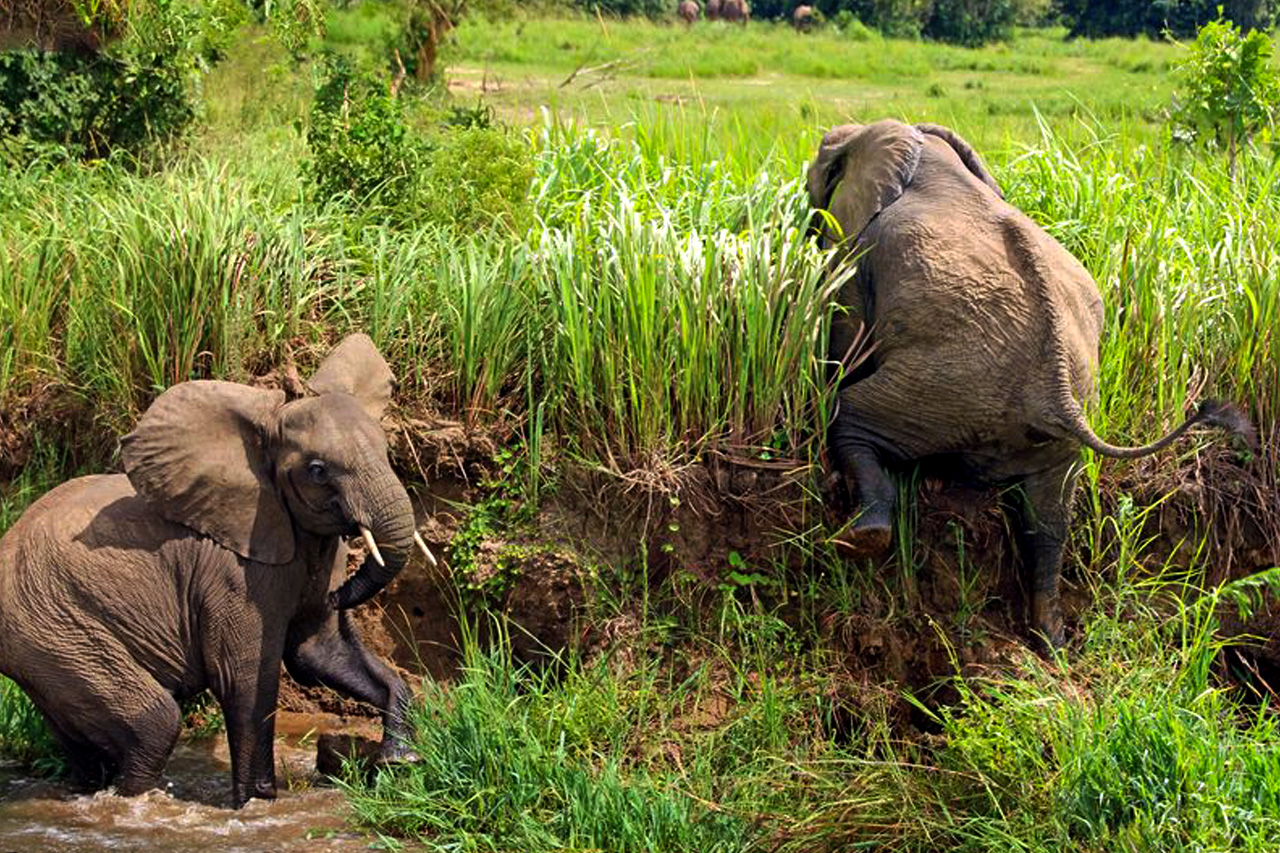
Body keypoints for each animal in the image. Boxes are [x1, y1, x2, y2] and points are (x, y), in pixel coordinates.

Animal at [0, 333, 437, 804]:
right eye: (318, 471)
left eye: (386, 451)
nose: (339, 596)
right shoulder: (234, 572)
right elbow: (244, 677)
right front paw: (257, 802)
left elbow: (320, 652)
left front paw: (400, 760)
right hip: (51, 626)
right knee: (154, 722)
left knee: (81, 739)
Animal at [808, 119, 1249, 645]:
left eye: (819, 169)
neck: (919, 148)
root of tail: (1057, 393)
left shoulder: (859, 251)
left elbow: (844, 340)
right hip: (1033, 423)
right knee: (1050, 520)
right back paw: (1052, 640)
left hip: (946, 389)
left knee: (850, 417)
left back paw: (860, 538)